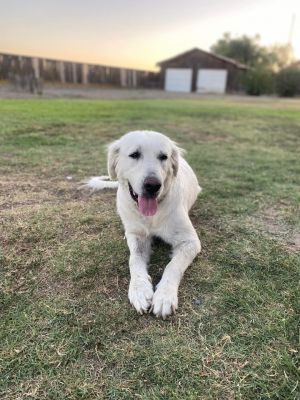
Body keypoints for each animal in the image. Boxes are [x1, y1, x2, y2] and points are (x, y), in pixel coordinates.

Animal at [84, 130, 202, 318]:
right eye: (134, 155)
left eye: (163, 157)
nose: (153, 185)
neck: (151, 215)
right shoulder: (136, 235)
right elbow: (134, 260)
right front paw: (139, 290)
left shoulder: (190, 242)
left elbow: (173, 266)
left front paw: (164, 296)